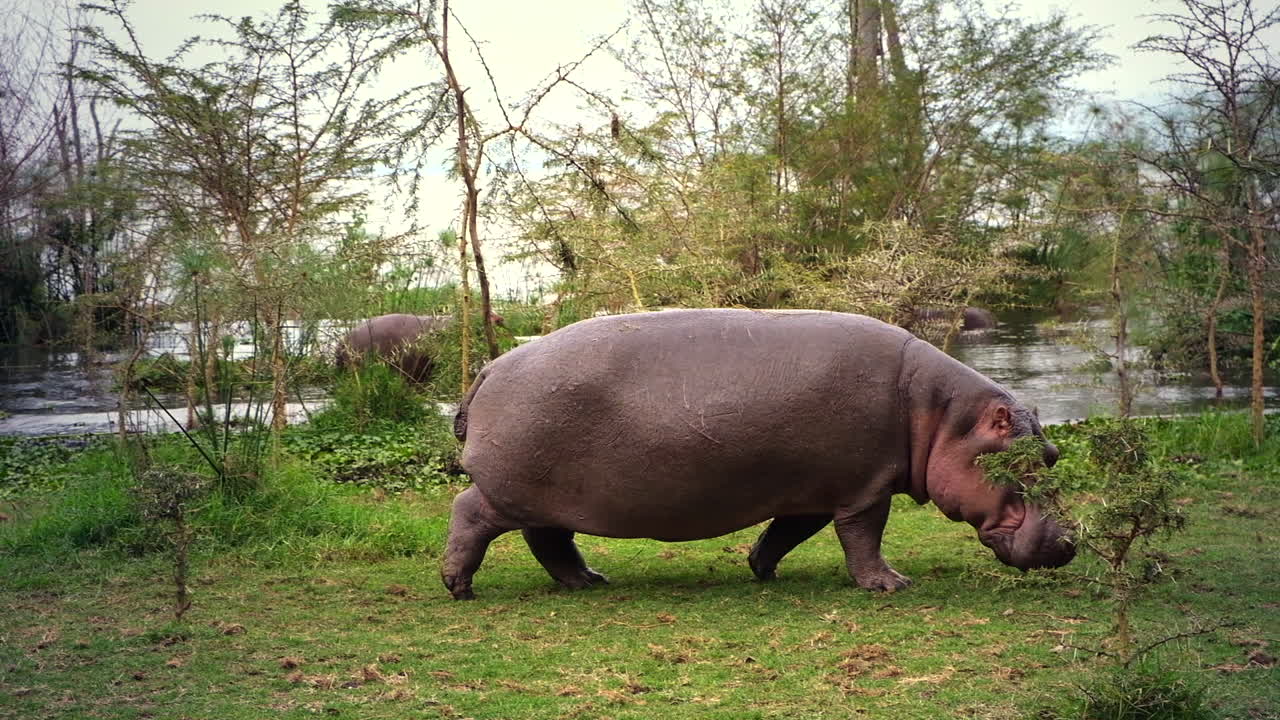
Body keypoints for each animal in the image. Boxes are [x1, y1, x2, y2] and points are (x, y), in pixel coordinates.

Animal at [444, 309, 1072, 600]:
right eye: (1018, 461)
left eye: (1052, 453)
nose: (1069, 542)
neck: (940, 416)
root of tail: (488, 369)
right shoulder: (863, 488)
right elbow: (863, 537)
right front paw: (891, 585)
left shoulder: (814, 490)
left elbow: (787, 532)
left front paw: (760, 569)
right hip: (509, 489)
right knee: (469, 512)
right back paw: (460, 587)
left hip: (540, 493)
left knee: (548, 539)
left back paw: (589, 580)